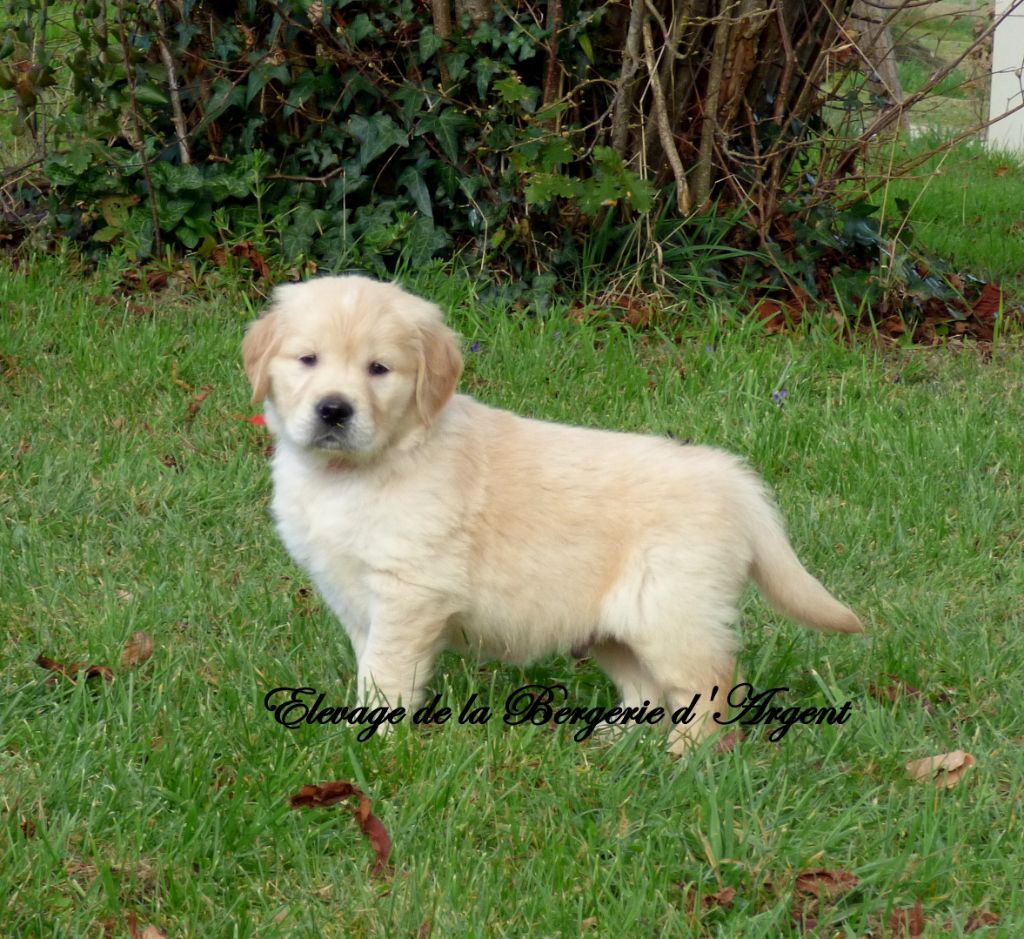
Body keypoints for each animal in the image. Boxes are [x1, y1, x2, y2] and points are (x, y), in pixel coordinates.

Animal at [243, 274, 860, 749]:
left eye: (379, 369)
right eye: (307, 359)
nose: (334, 410)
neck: (360, 470)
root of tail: (733, 479)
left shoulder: (409, 593)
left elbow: (386, 673)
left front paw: (372, 742)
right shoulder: (353, 594)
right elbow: (368, 658)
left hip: (672, 611)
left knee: (707, 688)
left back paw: (685, 760)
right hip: (616, 624)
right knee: (648, 692)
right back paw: (614, 741)